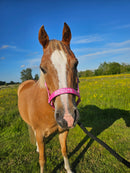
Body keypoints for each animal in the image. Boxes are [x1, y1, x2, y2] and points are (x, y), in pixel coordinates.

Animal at [17, 23, 80, 173]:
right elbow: (42, 160)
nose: (67, 117)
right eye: (42, 68)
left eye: (76, 63)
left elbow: (64, 151)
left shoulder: (64, 131)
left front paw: (68, 169)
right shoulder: (40, 134)